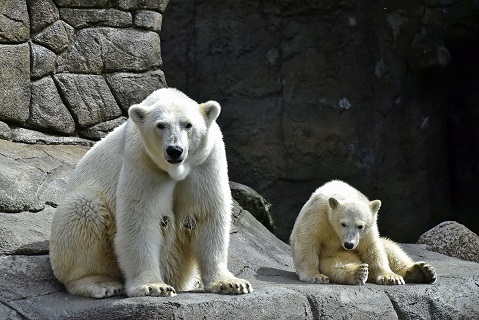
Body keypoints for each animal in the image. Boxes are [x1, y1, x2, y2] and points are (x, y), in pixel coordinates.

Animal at [49, 87, 253, 298]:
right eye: (161, 125)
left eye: (188, 125)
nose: (174, 150)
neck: (176, 169)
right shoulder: (143, 160)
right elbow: (140, 217)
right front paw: (155, 286)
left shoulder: (205, 163)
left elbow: (207, 214)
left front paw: (232, 283)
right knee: (83, 208)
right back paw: (101, 283)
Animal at [290, 180, 436, 284]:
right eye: (343, 224)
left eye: (360, 226)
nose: (349, 245)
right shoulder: (318, 214)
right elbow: (307, 238)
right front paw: (316, 276)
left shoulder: (368, 229)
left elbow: (372, 248)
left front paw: (390, 277)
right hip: (331, 255)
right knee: (335, 264)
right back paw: (358, 272)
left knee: (390, 248)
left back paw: (423, 271)